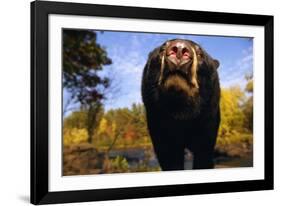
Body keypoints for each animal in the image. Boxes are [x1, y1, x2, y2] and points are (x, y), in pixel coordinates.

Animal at [141, 38, 220, 171]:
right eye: (162, 49)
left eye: (200, 54)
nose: (179, 49)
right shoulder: (157, 120)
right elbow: (169, 155)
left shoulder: (208, 117)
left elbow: (204, 152)